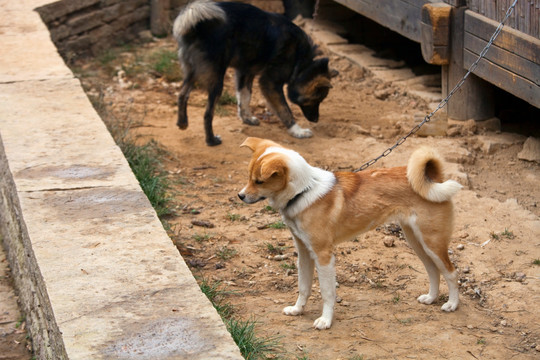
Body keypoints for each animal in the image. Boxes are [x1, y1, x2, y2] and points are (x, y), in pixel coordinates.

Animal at [173, 1, 338, 146]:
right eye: (316, 100)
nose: (316, 120)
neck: (302, 63)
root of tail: (197, 27)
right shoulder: (269, 83)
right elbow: (285, 109)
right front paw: (297, 131)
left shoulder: (245, 72)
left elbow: (245, 98)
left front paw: (246, 119)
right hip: (216, 80)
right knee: (207, 114)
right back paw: (211, 140)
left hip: (193, 73)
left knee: (182, 94)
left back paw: (182, 123)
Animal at [238, 137, 462, 330]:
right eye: (248, 177)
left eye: (259, 181)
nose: (240, 196)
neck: (304, 191)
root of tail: (433, 178)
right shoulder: (303, 253)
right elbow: (303, 286)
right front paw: (297, 309)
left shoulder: (323, 255)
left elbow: (327, 292)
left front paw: (325, 320)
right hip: (417, 241)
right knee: (433, 270)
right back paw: (431, 298)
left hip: (432, 242)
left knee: (451, 272)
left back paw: (452, 304)